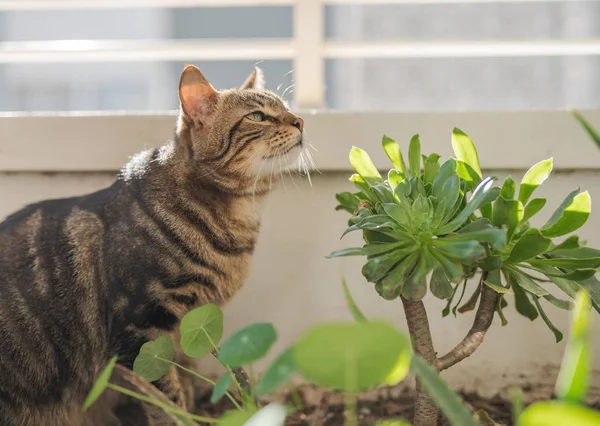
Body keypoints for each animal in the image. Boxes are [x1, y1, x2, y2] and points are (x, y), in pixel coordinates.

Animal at [0, 64, 302, 426]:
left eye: (286, 108)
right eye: (258, 116)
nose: (300, 121)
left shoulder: (190, 325)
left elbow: (185, 379)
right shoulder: (141, 325)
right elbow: (163, 395)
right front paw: (180, 416)